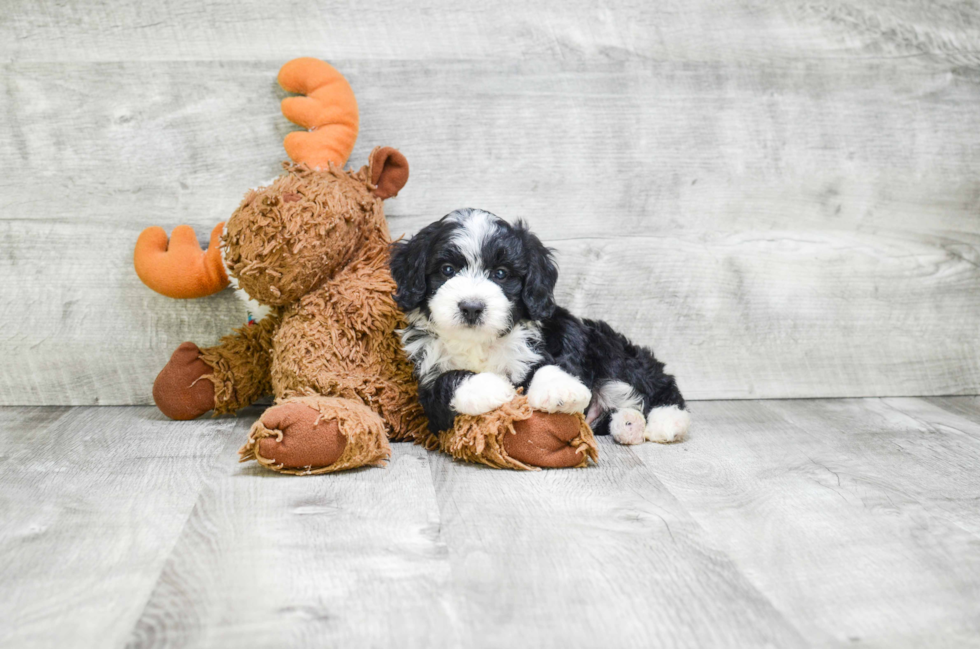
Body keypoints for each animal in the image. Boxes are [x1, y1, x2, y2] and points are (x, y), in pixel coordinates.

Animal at [386, 208, 684, 446]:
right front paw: (488, 387)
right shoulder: (428, 387)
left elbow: (548, 364)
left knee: (657, 381)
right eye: (447, 270)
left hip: (607, 347)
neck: (479, 341)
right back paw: (628, 425)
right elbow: (446, 380)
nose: (471, 307)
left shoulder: (552, 337)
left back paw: (667, 421)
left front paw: (559, 389)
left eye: (501, 274)